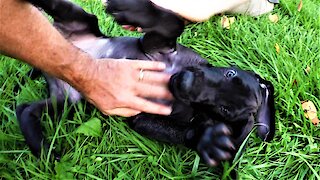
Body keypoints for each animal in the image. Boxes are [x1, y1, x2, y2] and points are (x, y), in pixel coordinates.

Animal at [16, 0, 276, 167]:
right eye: (229, 73)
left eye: (225, 110)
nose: (187, 83)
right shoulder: (154, 45)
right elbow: (172, 22)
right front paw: (129, 9)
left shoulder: (142, 116)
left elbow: (185, 131)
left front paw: (207, 139)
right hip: (78, 17)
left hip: (68, 101)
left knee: (25, 109)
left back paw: (42, 149)